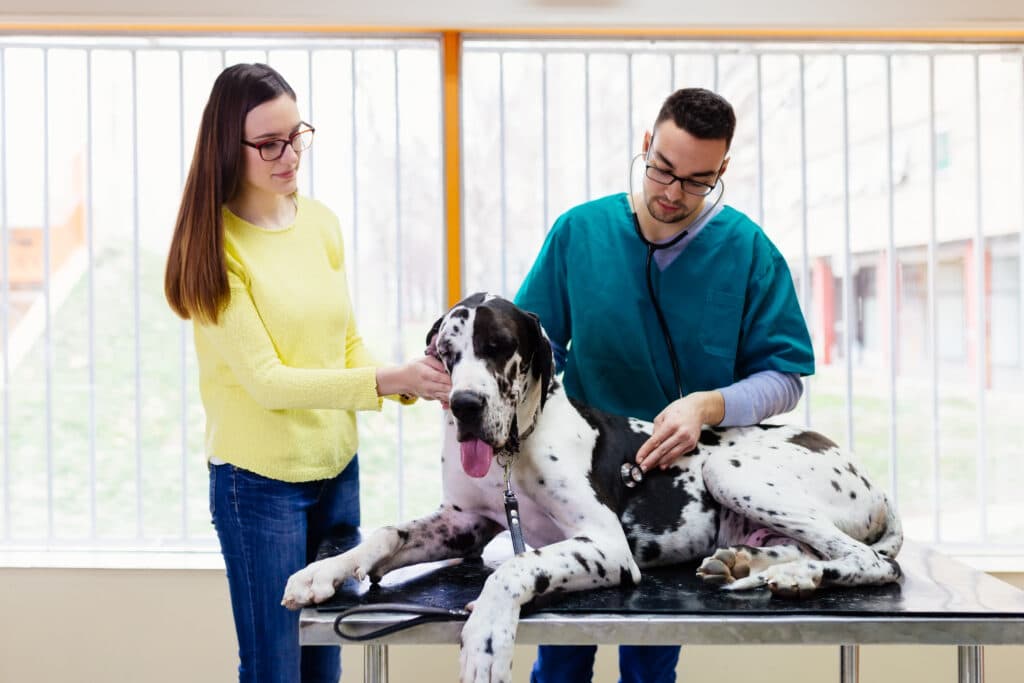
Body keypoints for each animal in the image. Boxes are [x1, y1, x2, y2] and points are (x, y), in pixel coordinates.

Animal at [282, 290, 905, 679]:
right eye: (446, 353)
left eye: (499, 347)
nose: (465, 405)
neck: (516, 449)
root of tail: (873, 481)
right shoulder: (464, 522)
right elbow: (385, 534)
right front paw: (324, 569)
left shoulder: (606, 546)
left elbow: (514, 567)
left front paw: (486, 638)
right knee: (816, 548)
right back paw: (755, 565)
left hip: (727, 470)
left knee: (872, 561)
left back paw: (796, 575)